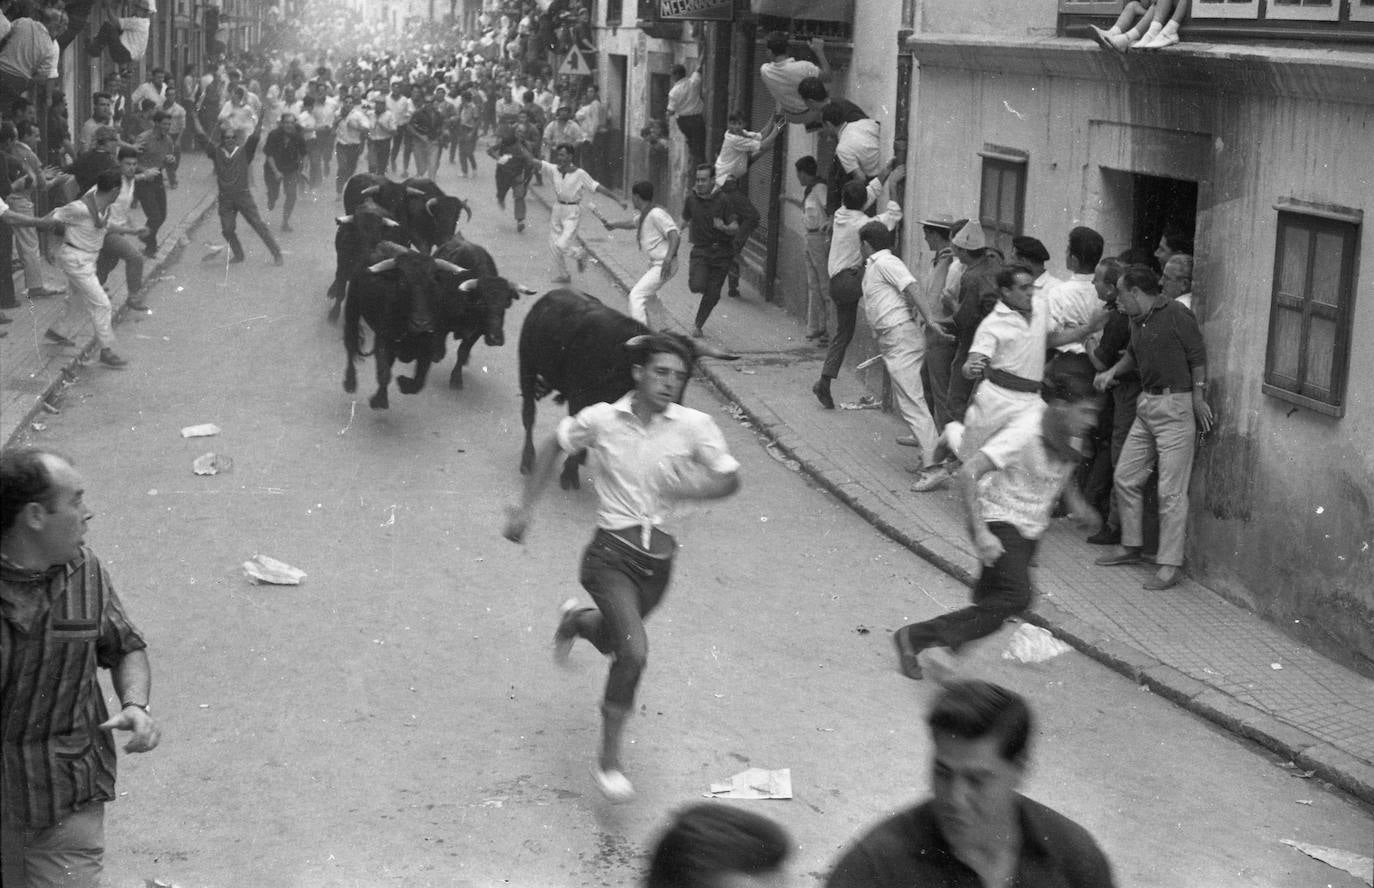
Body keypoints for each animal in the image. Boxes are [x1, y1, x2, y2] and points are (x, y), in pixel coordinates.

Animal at [516, 288, 736, 489]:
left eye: (687, 374)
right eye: (661, 370)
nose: (674, 402)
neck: (623, 363)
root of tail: (546, 299)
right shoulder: (578, 400)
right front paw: (569, 473)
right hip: (526, 367)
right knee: (529, 414)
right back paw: (527, 460)